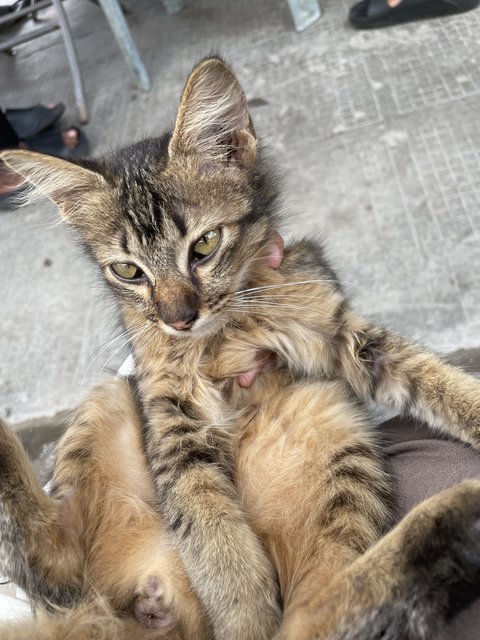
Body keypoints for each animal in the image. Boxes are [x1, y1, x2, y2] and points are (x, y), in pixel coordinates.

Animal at [1, 58, 480, 640]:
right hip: (112, 396)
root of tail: (154, 608)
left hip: (334, 430)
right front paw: (244, 613)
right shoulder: (170, 414)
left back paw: (458, 522)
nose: (178, 319)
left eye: (204, 245)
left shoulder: (334, 324)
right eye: (128, 271)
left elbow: (432, 375)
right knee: (54, 562)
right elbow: (214, 536)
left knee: (320, 611)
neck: (226, 329)